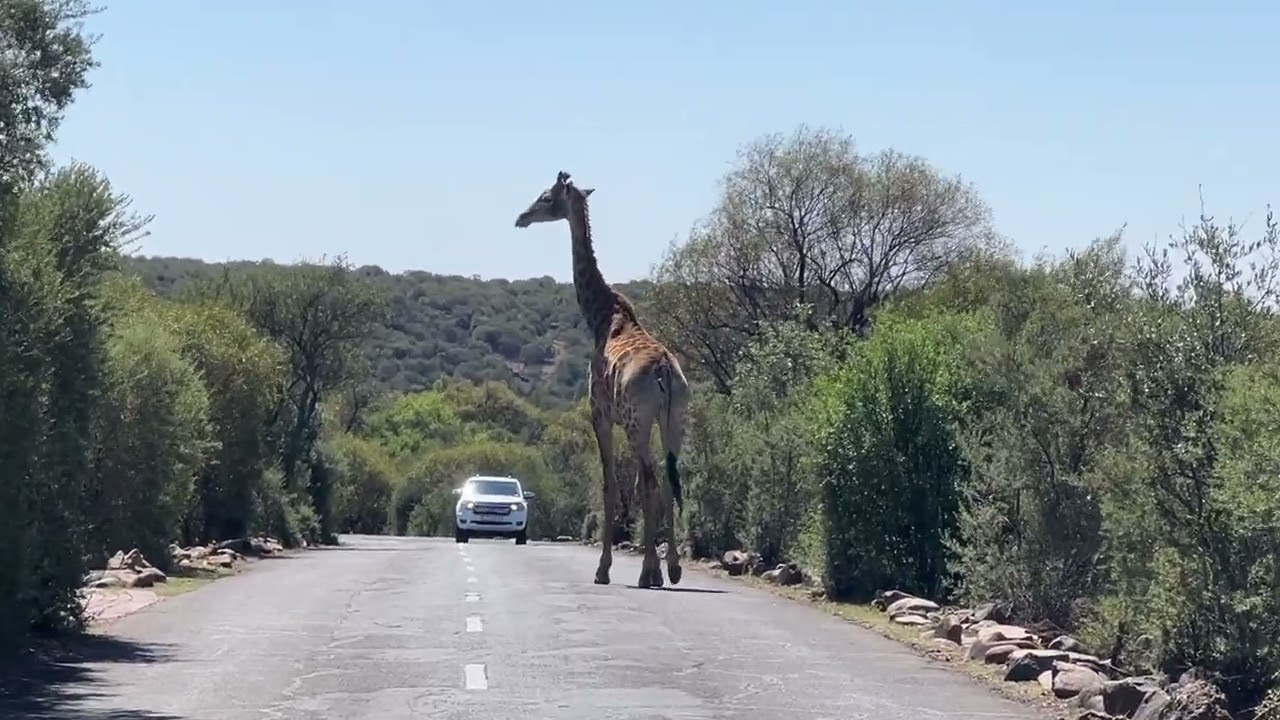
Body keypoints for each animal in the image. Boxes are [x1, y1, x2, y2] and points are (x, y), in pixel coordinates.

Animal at [515, 171, 690, 588]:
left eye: (546, 198)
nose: (521, 218)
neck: (600, 316)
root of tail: (664, 371)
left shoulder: (601, 415)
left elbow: (610, 484)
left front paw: (603, 569)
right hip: (673, 420)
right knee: (670, 477)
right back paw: (673, 568)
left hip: (638, 421)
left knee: (650, 480)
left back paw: (648, 572)